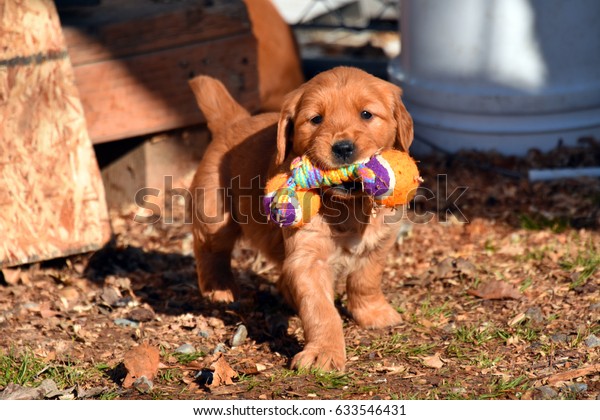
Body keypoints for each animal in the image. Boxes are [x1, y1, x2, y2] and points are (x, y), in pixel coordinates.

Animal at [190, 66, 414, 370]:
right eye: (316, 119)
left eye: (366, 114)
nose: (343, 148)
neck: (350, 206)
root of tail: (234, 121)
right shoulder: (308, 257)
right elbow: (320, 309)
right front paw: (324, 353)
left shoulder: (379, 244)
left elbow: (366, 280)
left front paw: (374, 313)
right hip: (214, 214)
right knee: (210, 249)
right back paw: (220, 288)